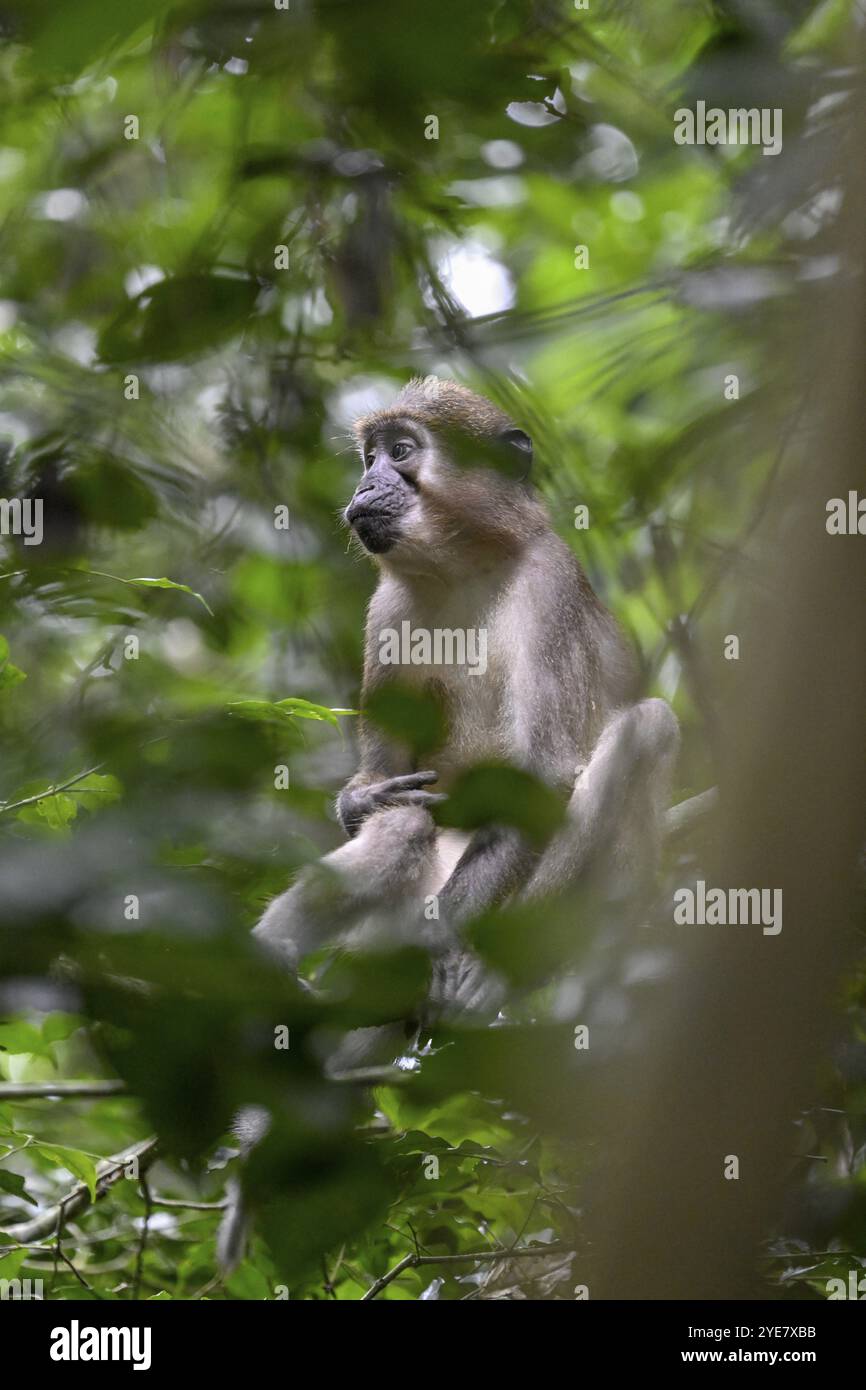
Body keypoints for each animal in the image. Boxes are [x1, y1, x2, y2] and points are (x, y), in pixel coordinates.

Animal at [254, 375, 681, 1028]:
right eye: (368, 458)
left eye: (401, 451)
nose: (365, 484)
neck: (462, 568)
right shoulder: (387, 608)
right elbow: (385, 780)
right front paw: (363, 799)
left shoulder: (548, 579)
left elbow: (541, 776)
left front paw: (448, 948)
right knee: (404, 826)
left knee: (648, 727)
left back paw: (496, 971)